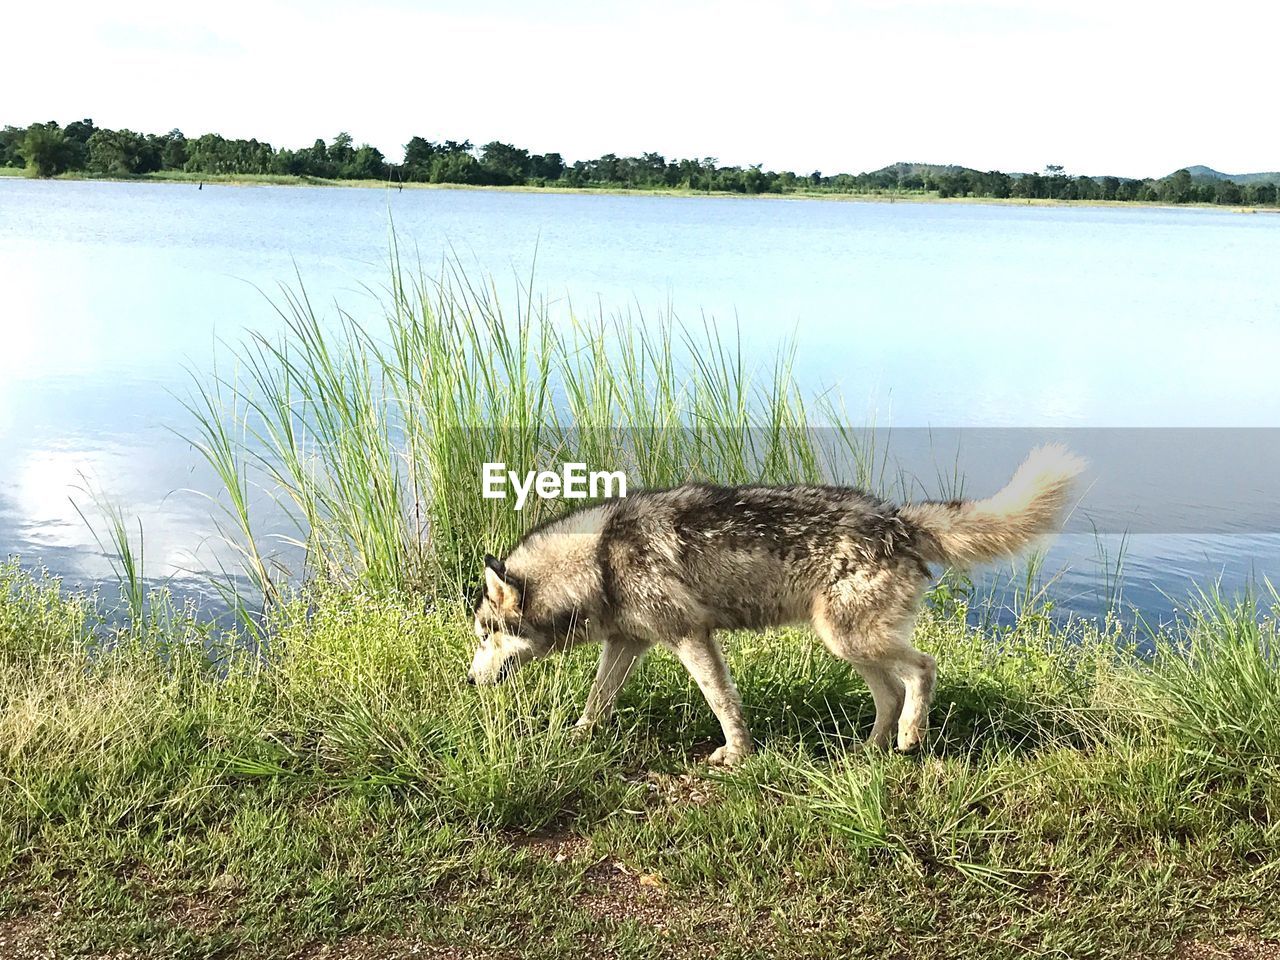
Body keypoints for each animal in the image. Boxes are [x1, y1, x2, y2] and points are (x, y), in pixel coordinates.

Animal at [465, 445, 1085, 768]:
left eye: (484, 634)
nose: (469, 682)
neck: (598, 558)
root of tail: (897, 519)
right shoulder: (629, 643)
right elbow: (598, 700)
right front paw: (574, 737)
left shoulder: (691, 637)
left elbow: (722, 703)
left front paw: (735, 755)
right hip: (849, 646)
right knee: (890, 693)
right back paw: (871, 750)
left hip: (852, 639)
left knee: (923, 670)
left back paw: (910, 736)